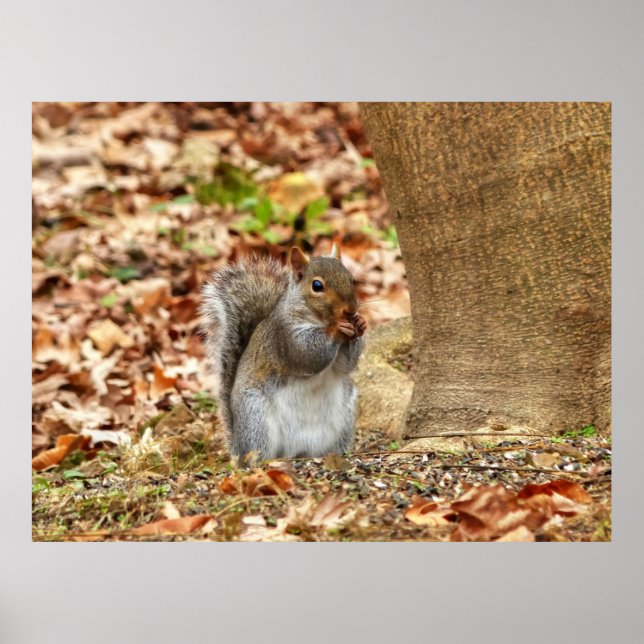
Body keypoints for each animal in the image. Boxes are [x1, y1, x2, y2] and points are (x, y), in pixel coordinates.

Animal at [201, 244, 366, 465]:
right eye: (317, 286)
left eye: (351, 279)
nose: (350, 310)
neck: (318, 319)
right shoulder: (285, 335)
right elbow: (308, 354)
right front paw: (336, 329)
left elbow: (345, 365)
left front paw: (360, 323)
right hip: (256, 418)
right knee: (255, 454)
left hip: (345, 417)